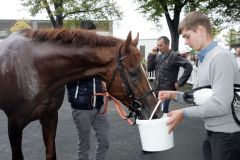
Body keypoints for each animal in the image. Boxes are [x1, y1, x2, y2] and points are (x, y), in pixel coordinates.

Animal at [0, 29, 162, 160]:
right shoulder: (14, 124)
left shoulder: (50, 117)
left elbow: (51, 154)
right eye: (133, 73)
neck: (34, 69)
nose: (157, 113)